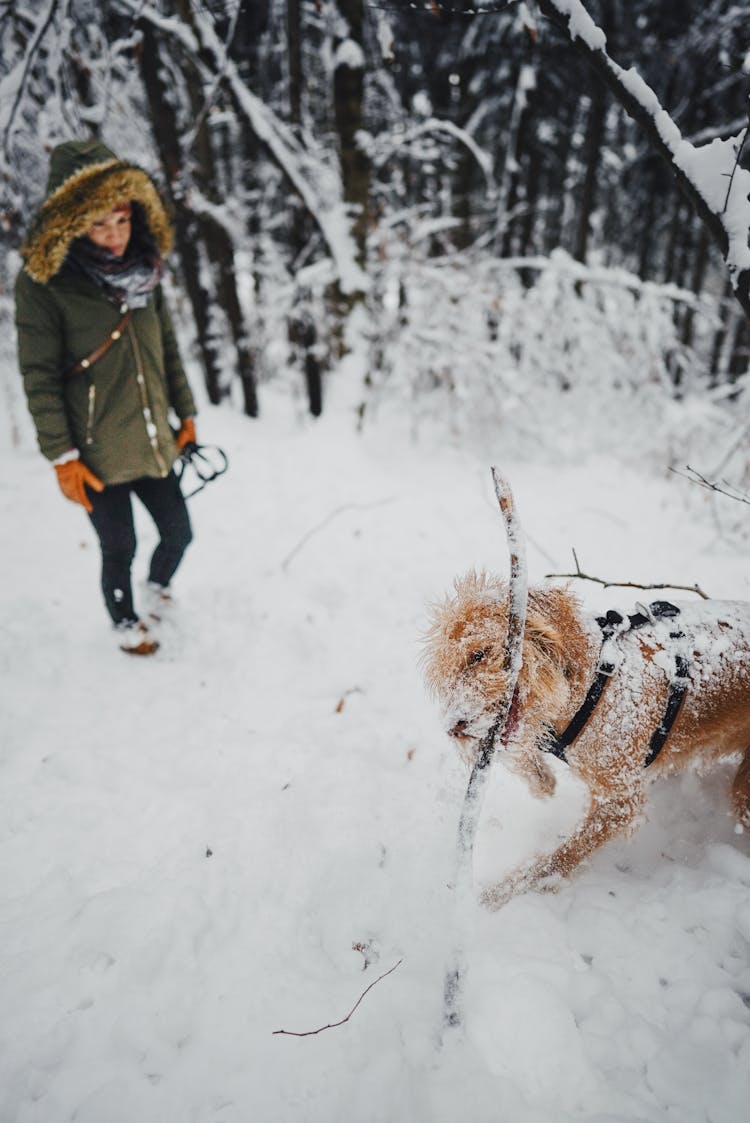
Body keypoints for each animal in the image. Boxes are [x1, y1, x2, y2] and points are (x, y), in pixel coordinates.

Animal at [422, 574, 750, 907]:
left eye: (477, 655)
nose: (454, 728)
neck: (592, 678)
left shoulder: (620, 801)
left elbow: (557, 860)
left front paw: (495, 897)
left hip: (742, 794)